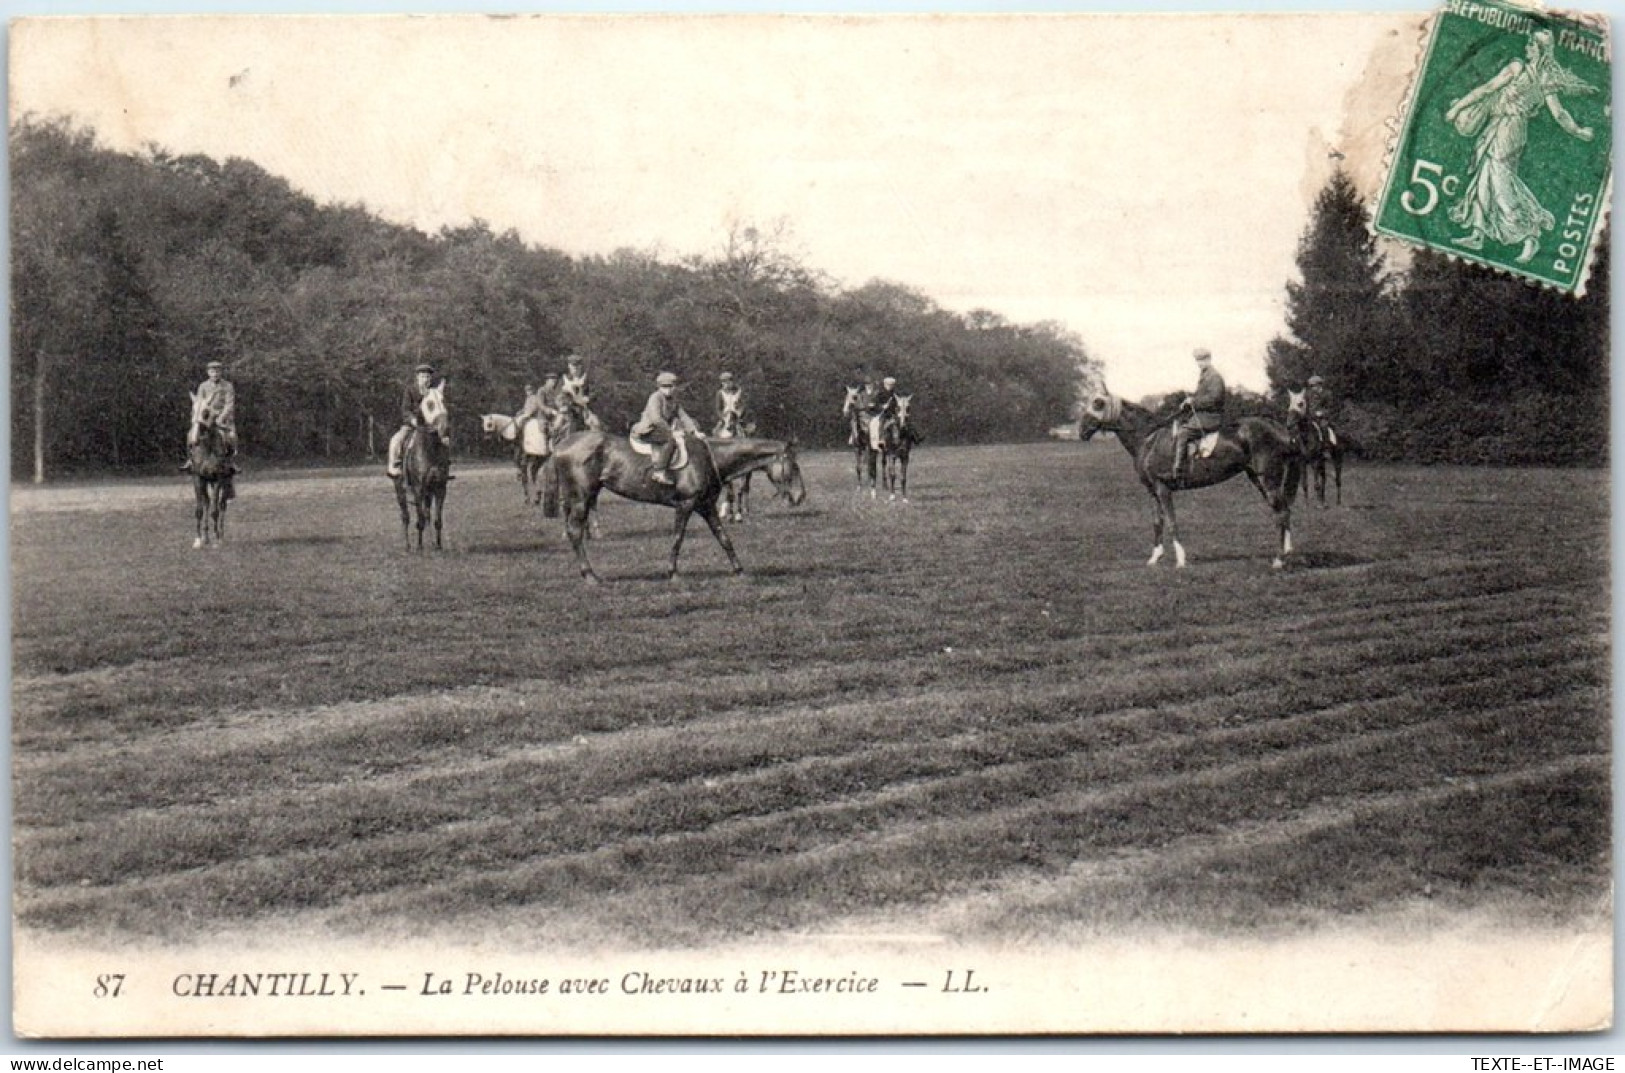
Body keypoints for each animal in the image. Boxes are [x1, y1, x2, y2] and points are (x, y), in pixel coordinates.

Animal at [187, 390, 234, 549]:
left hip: (225, 482)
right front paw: (198, 540)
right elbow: (199, 510)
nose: (193, 441)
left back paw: (221, 536)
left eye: (206, 413)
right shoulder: (198, 478)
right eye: (192, 411)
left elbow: (215, 510)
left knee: (222, 505)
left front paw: (218, 539)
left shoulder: (218, 478)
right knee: (207, 503)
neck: (207, 448)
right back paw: (206, 537)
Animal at [390, 383, 448, 549]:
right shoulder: (418, 489)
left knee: (427, 515)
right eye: (429, 404)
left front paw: (438, 546)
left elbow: (437, 520)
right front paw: (420, 548)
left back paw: (431, 542)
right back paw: (408, 546)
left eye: (443, 400)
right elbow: (419, 520)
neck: (430, 449)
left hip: (429, 492)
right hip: (400, 490)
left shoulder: (440, 488)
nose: (444, 428)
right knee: (406, 516)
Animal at [552, 429, 806, 585]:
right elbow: (678, 538)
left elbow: (724, 538)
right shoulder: (685, 505)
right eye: (794, 466)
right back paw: (590, 576)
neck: (709, 457)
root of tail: (561, 445)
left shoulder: (706, 507)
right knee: (575, 532)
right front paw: (672, 573)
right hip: (581, 498)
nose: (800, 496)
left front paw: (740, 571)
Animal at [1079, 390, 1306, 565]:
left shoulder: (1163, 488)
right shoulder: (1152, 491)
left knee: (1282, 512)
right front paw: (1155, 558)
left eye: (1097, 404)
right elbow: (1157, 522)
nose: (1081, 431)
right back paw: (1287, 550)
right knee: (1282, 510)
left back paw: (1279, 559)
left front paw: (1180, 559)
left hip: (1268, 478)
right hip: (1259, 479)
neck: (1148, 439)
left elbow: (1171, 521)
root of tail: (1278, 428)